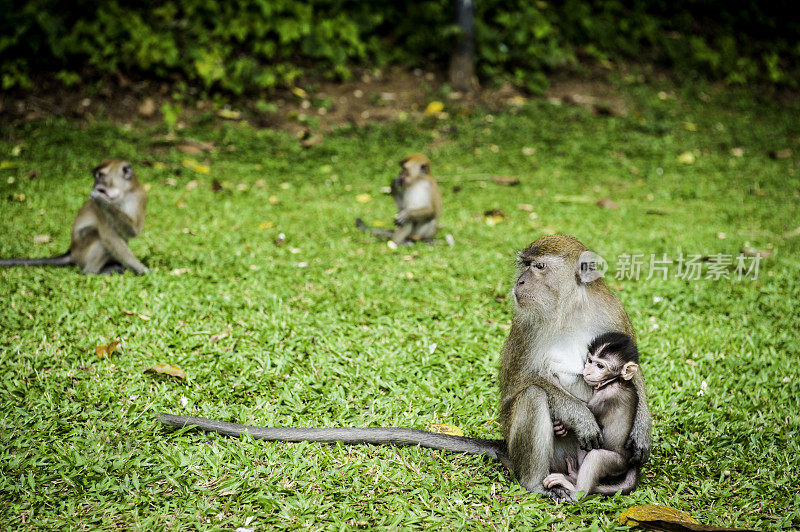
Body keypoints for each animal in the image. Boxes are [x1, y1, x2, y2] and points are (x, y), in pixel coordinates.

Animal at [0, 158, 149, 274]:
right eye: (96, 176)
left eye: (101, 175)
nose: (94, 185)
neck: (122, 194)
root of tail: (72, 252)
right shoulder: (99, 210)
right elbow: (109, 237)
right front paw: (141, 269)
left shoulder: (140, 196)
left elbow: (133, 231)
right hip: (82, 252)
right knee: (98, 236)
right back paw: (92, 272)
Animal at [540, 332, 640, 498]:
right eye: (590, 361)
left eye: (600, 366)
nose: (587, 371)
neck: (616, 381)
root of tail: (628, 463)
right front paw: (560, 427)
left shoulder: (607, 396)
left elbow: (588, 409)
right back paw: (574, 474)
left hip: (617, 463)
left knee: (596, 457)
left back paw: (576, 490)